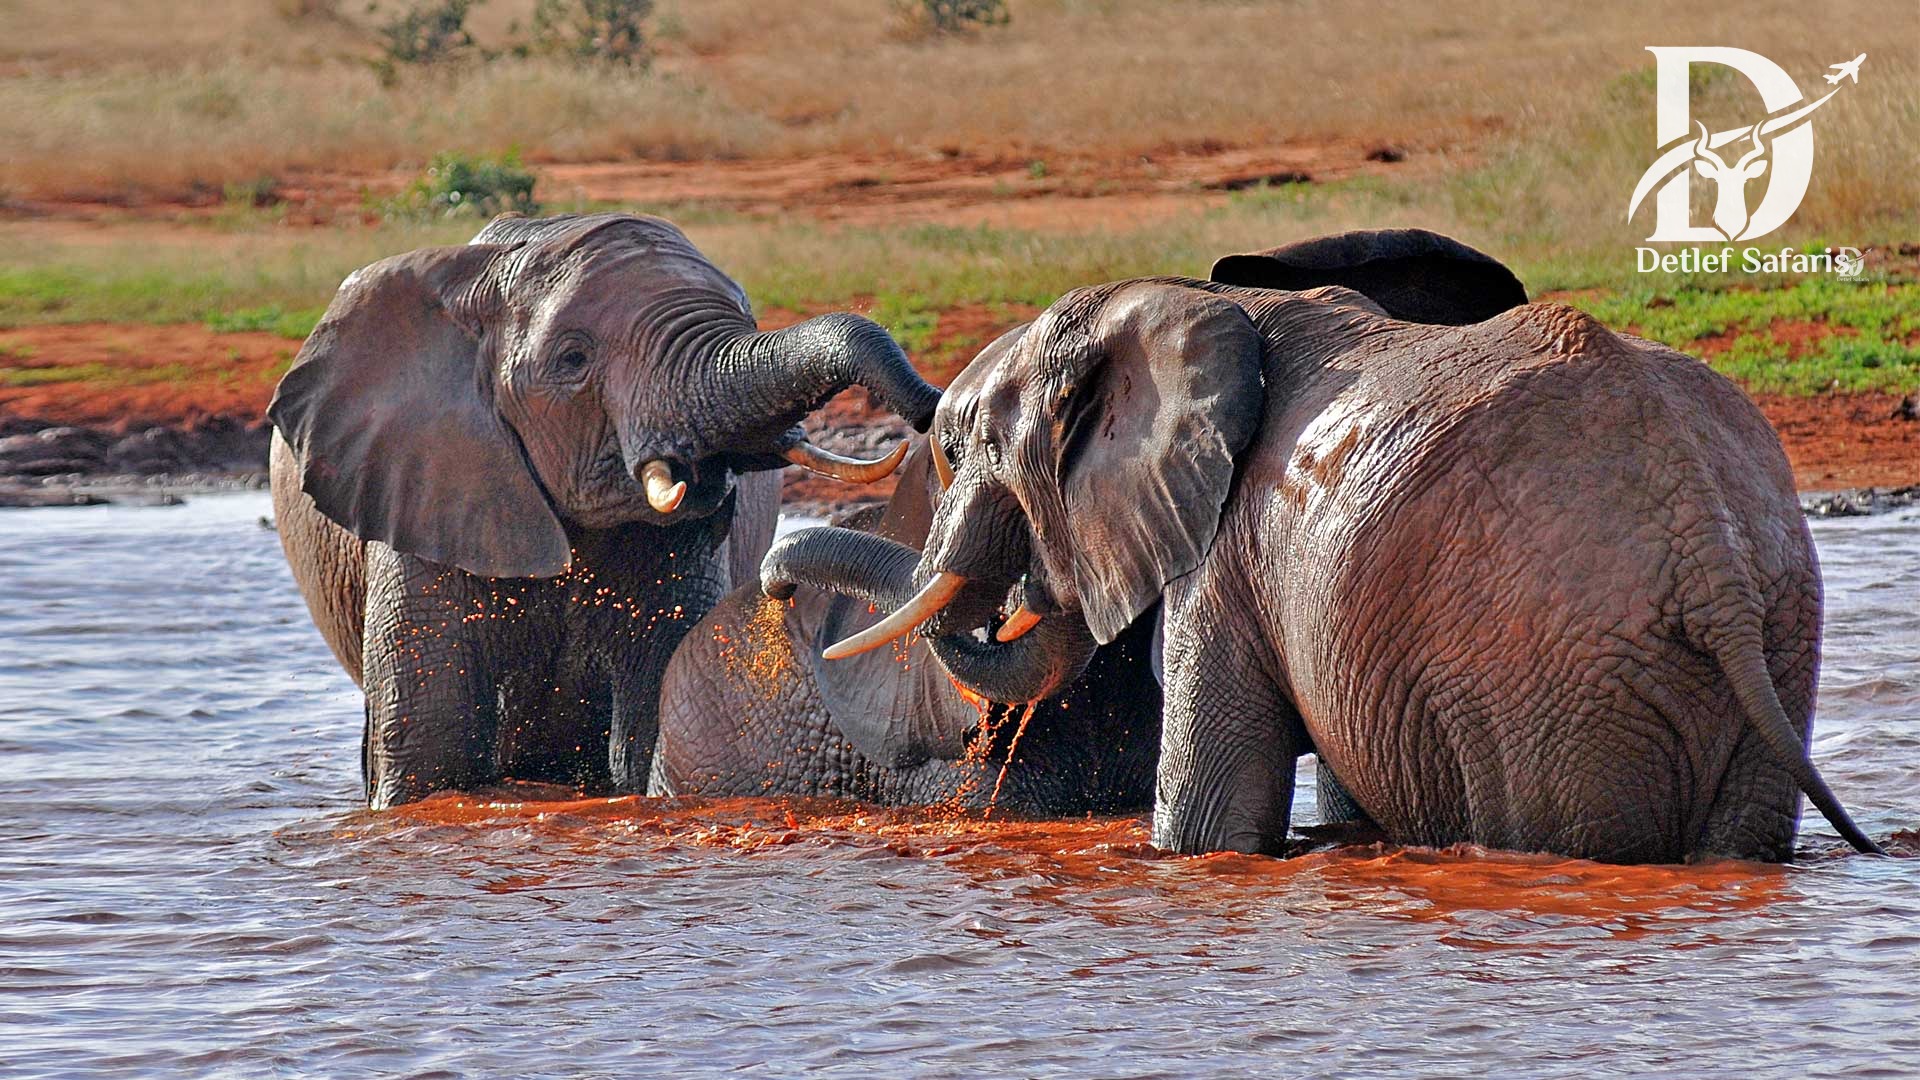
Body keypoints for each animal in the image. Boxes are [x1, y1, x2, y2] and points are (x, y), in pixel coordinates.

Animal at [269, 211, 940, 808]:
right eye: (573, 360)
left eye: (748, 319)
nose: (931, 411)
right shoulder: (428, 485)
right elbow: (432, 741)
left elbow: (651, 703)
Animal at [761, 228, 1883, 863]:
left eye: (955, 447)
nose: (773, 584)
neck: (1191, 305)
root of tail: (1711, 558)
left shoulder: (1226, 554)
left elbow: (1208, 824)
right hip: (1776, 631)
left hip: (1554, 675)